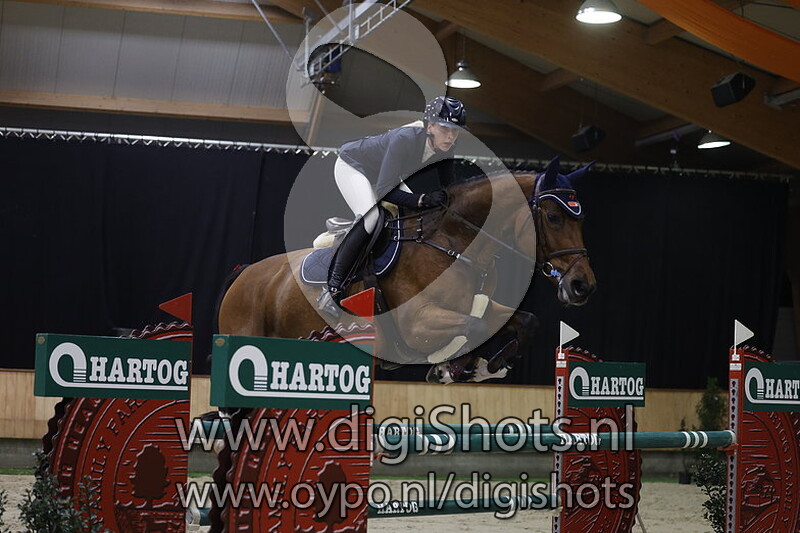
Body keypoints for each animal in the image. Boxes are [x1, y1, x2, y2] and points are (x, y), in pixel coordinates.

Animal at [218, 157, 596, 383]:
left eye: (581, 220)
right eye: (554, 217)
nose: (583, 286)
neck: (457, 242)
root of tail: (245, 273)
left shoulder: (481, 306)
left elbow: (526, 321)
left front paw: (483, 368)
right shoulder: (418, 321)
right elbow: (472, 327)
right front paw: (451, 367)